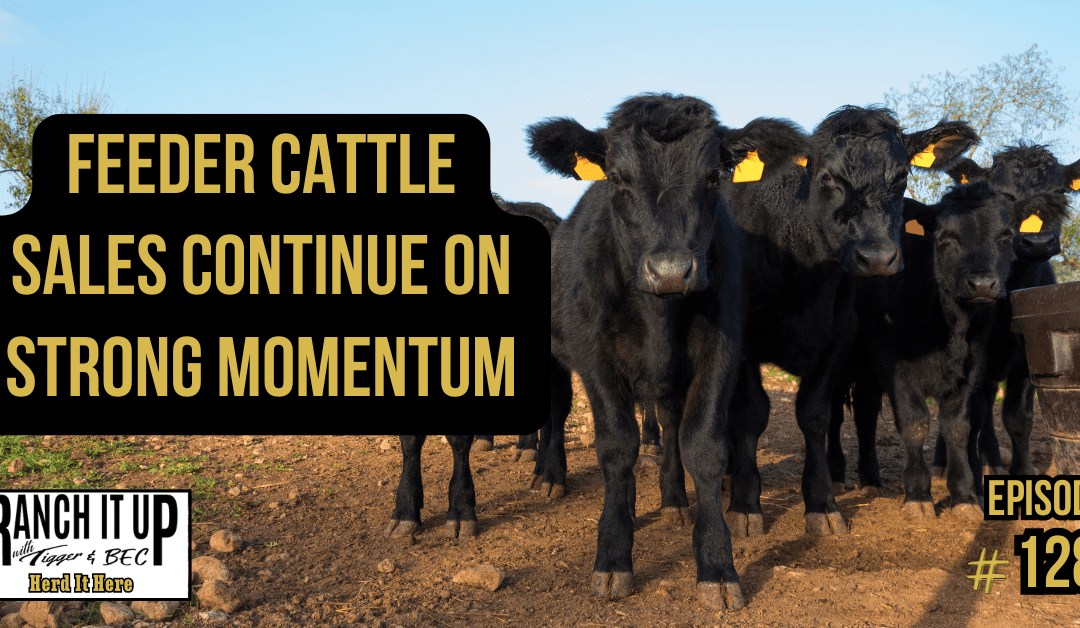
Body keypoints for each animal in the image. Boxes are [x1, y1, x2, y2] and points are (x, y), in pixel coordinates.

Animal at [527, 92, 755, 609]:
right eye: (616, 177)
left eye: (714, 176)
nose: (669, 270)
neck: (658, 314)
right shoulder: (595, 358)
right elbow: (617, 447)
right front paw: (613, 555)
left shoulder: (722, 351)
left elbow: (702, 446)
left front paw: (717, 565)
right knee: (556, 410)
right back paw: (550, 476)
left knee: (668, 424)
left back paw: (671, 500)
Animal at [831, 180, 1029, 519]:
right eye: (945, 237)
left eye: (1005, 237)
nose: (982, 284)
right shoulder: (894, 363)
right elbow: (915, 422)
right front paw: (918, 495)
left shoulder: (970, 367)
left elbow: (958, 427)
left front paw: (964, 496)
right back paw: (835, 477)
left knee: (866, 416)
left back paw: (870, 480)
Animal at [928, 146, 1080, 477]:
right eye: (1005, 196)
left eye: (1060, 192)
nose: (1038, 242)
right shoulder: (978, 358)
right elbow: (975, 414)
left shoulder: (1028, 357)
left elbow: (1018, 417)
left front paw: (1021, 471)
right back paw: (945, 462)